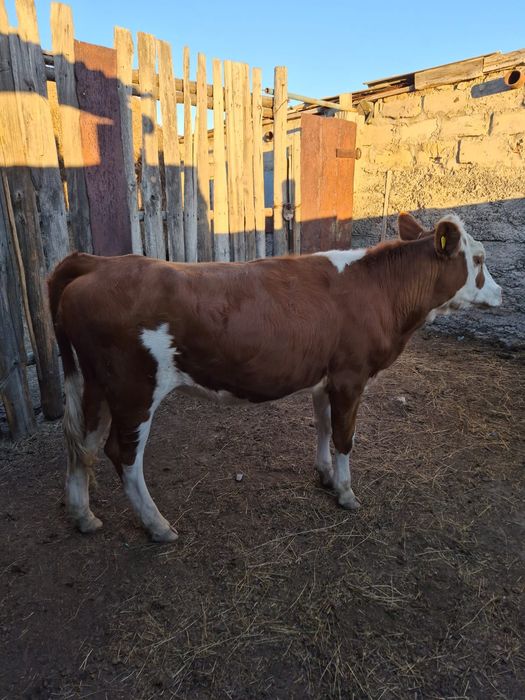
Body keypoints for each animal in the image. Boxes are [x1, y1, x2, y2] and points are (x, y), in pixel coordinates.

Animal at [48, 212, 502, 542]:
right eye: (479, 259)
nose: (501, 294)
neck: (381, 292)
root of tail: (97, 262)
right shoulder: (351, 376)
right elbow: (345, 438)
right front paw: (346, 492)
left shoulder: (326, 377)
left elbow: (323, 427)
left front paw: (325, 475)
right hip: (134, 389)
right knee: (122, 454)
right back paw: (157, 525)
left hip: (96, 385)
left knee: (82, 442)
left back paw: (83, 516)